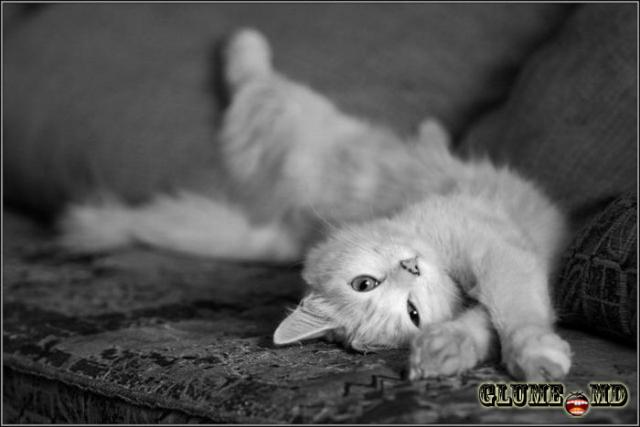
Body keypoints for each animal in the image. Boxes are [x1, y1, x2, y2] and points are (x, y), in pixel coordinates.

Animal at [59, 28, 572, 381]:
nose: (412, 269)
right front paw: (449, 351)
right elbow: (488, 320)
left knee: (256, 80)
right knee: (255, 84)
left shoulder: (498, 253)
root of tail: (276, 220)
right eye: (410, 313)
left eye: (363, 282)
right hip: (284, 126)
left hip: (305, 121)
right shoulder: (506, 258)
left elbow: (511, 313)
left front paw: (531, 354)